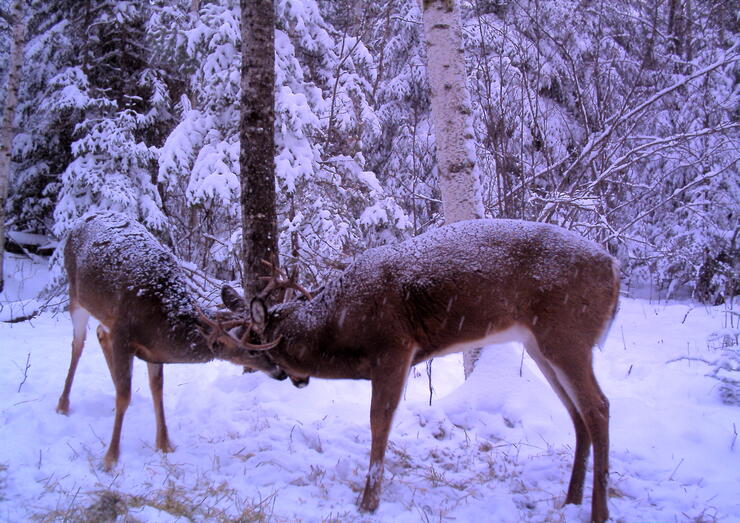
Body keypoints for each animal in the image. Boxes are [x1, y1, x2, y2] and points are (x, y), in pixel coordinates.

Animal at [57, 211, 290, 472]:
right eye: (252, 351)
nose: (281, 372)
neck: (160, 314)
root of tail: (83, 218)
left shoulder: (151, 348)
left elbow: (157, 388)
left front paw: (164, 444)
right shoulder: (123, 333)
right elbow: (125, 395)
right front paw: (110, 458)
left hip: (104, 314)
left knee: (100, 333)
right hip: (76, 294)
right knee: (78, 344)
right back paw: (63, 405)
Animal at [220, 219, 620, 523]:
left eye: (254, 342)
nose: (286, 377)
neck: (339, 326)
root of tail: (615, 269)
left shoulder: (394, 348)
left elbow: (379, 421)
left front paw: (368, 503)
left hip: (566, 335)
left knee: (598, 406)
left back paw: (598, 512)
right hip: (539, 345)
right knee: (577, 413)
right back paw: (570, 500)